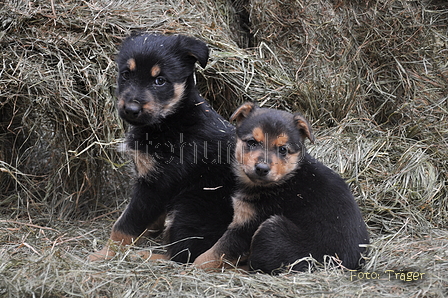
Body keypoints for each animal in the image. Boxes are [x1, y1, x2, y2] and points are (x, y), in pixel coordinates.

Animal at [88, 33, 234, 264]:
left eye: (160, 80)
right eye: (126, 75)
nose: (131, 109)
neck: (171, 120)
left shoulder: (156, 184)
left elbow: (125, 224)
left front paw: (105, 253)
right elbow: (149, 217)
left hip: (190, 206)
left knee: (182, 255)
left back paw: (144, 256)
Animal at [194, 103, 370, 274]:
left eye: (283, 149)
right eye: (252, 142)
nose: (262, 169)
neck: (285, 179)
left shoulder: (246, 226)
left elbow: (213, 254)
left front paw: (191, 269)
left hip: (272, 229)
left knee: (257, 267)